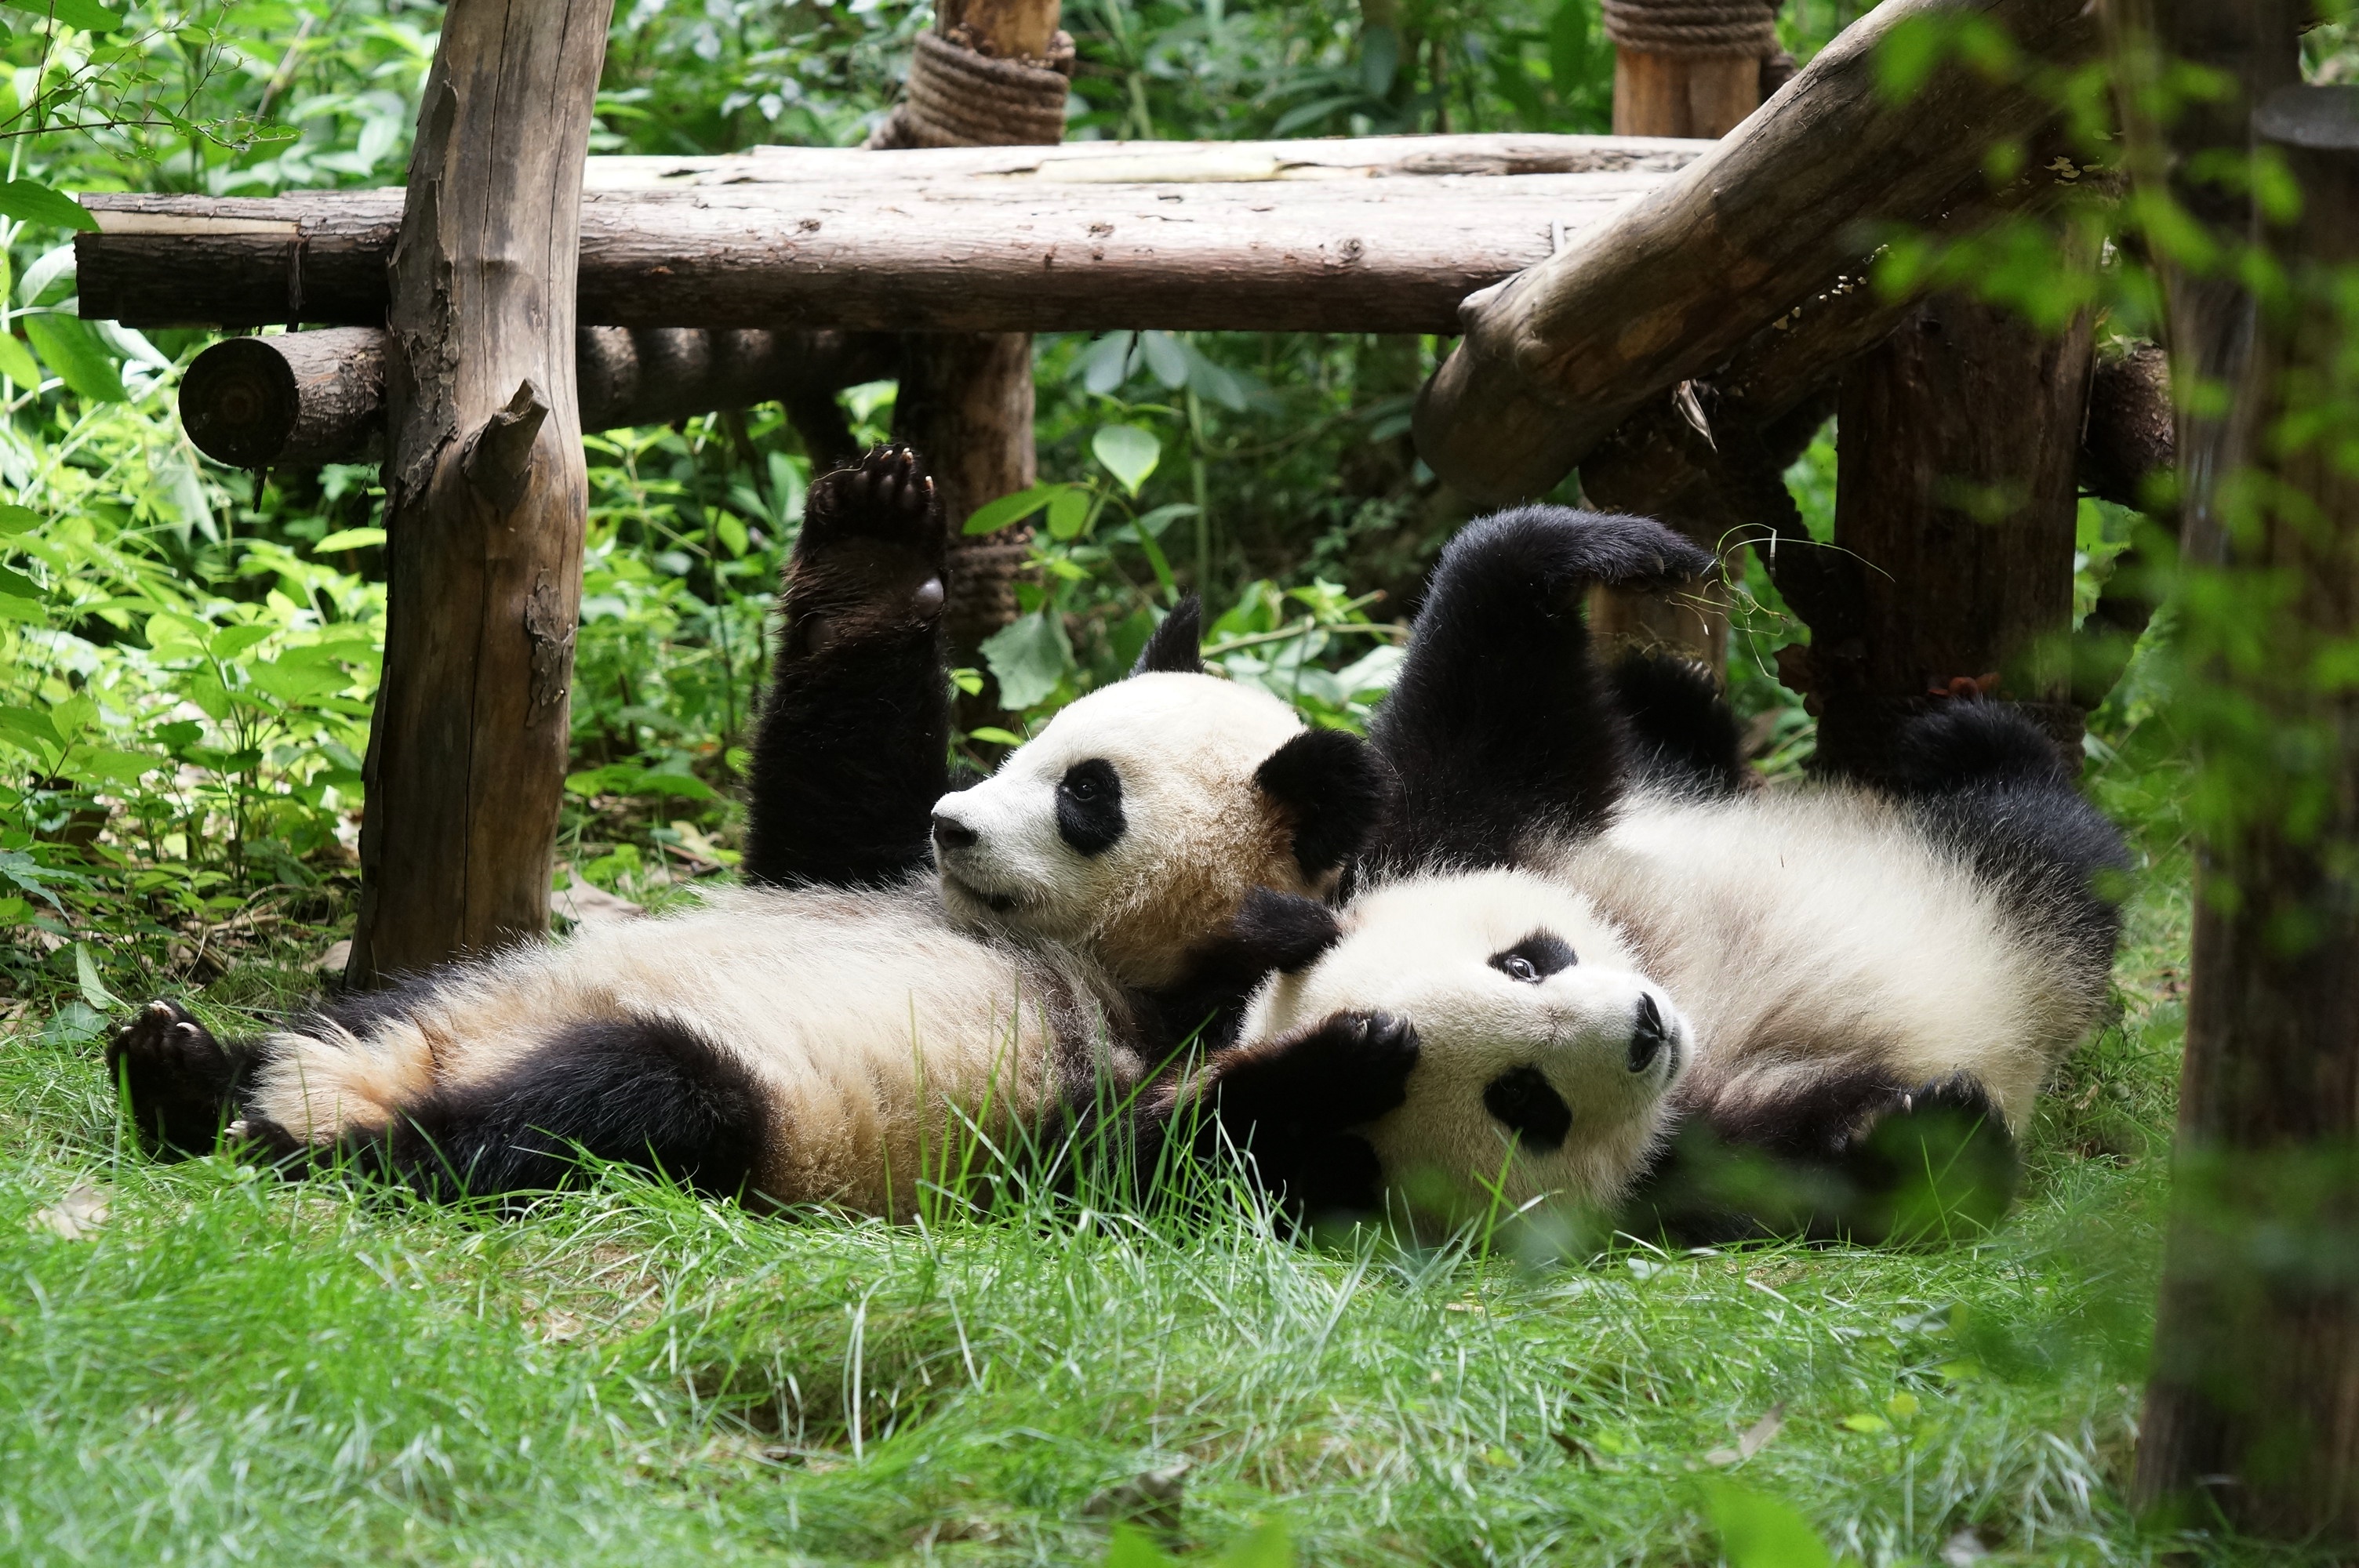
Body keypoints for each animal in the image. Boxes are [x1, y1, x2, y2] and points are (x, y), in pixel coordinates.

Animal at [1150, 506, 2132, 1244]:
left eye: (1521, 962)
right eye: (1521, 1100)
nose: (1644, 1027)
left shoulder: (1454, 830)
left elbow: (1480, 687)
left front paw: (1604, 547)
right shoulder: (1679, 1168)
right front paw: (1934, 1124)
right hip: (2006, 892)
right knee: (2048, 846)